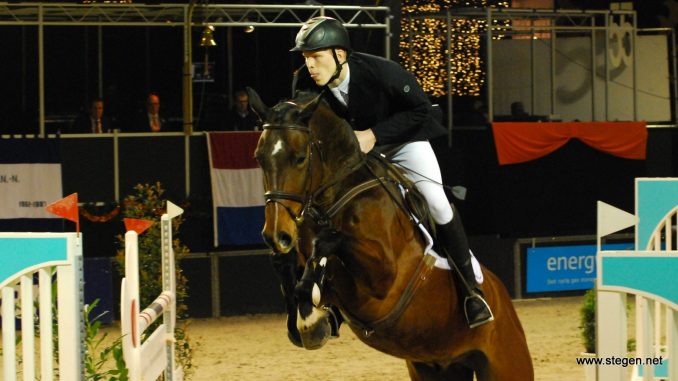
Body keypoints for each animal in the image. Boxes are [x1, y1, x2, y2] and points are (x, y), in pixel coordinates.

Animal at [247, 87, 532, 378]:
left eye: (300, 158)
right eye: (259, 158)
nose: (276, 235)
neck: (337, 195)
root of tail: (504, 301)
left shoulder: (384, 277)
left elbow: (329, 243)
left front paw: (310, 315)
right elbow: (290, 268)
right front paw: (307, 316)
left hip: (507, 363)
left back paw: (477, 306)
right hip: (435, 366)